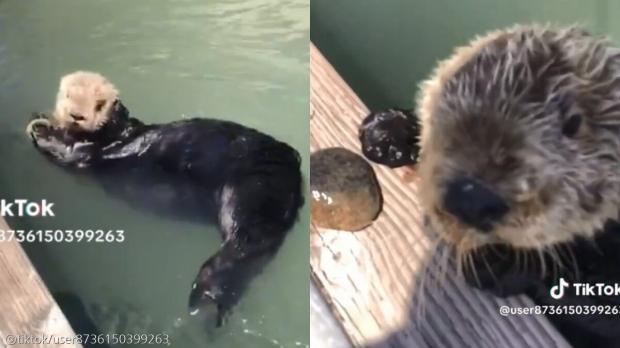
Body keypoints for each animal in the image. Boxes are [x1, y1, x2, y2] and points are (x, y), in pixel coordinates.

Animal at [26, 72, 302, 328]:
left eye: (98, 105)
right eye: (66, 95)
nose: (75, 115)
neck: (117, 135)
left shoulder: (91, 152)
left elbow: (66, 151)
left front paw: (39, 126)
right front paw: (41, 118)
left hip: (256, 188)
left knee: (244, 242)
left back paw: (205, 299)